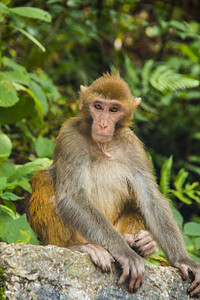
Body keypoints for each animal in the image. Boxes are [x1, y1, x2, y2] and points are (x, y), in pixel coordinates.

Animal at [27, 73, 200, 298]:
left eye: (114, 110)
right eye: (98, 106)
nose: (102, 124)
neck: (103, 146)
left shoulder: (133, 146)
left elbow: (151, 199)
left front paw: (183, 260)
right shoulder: (69, 139)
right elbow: (72, 196)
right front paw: (125, 253)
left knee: (136, 204)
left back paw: (142, 244)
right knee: (44, 178)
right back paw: (78, 247)